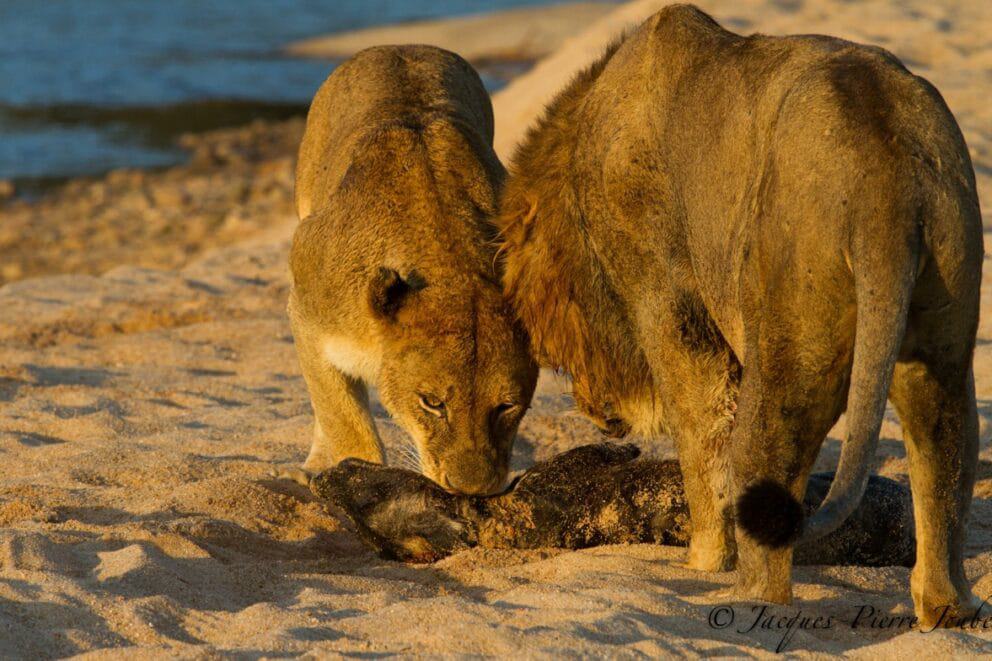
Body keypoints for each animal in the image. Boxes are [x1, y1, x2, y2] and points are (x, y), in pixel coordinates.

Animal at [287, 45, 537, 495]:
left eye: (507, 406)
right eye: (432, 403)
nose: (469, 489)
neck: (450, 260)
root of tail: (397, 46)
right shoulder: (306, 311)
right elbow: (345, 424)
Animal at [494, 5, 982, 626]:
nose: (591, 409)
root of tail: (886, 185)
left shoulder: (661, 288)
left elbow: (701, 426)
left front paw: (703, 560)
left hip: (790, 324)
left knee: (771, 445)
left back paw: (747, 594)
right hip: (943, 308)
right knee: (944, 442)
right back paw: (946, 607)